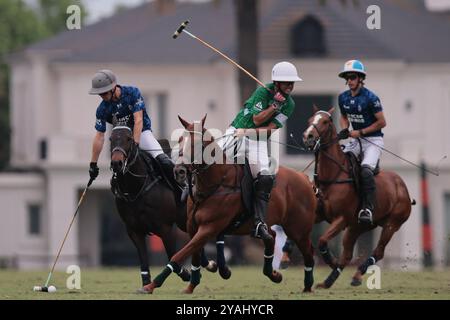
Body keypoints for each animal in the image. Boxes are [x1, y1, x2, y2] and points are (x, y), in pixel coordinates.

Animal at [110, 121, 221, 292]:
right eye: (110, 139)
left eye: (129, 139)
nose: (117, 163)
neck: (137, 188)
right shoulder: (134, 230)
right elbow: (143, 260)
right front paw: (146, 285)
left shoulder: (165, 228)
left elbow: (172, 255)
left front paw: (186, 274)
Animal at [143, 115, 316, 296]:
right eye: (180, 140)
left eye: (197, 142)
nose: (179, 171)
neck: (215, 184)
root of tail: (303, 177)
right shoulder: (192, 227)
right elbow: (194, 256)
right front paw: (191, 286)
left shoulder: (209, 228)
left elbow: (179, 255)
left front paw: (152, 285)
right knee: (271, 237)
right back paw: (274, 274)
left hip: (299, 229)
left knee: (308, 252)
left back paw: (308, 285)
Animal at [302, 107, 414, 288]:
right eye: (310, 119)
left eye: (325, 121)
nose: (308, 136)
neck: (332, 176)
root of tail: (402, 187)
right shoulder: (318, 214)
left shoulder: (342, 218)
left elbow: (322, 240)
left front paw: (331, 260)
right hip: (358, 226)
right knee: (348, 255)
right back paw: (328, 281)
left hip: (392, 224)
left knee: (379, 251)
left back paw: (356, 274)